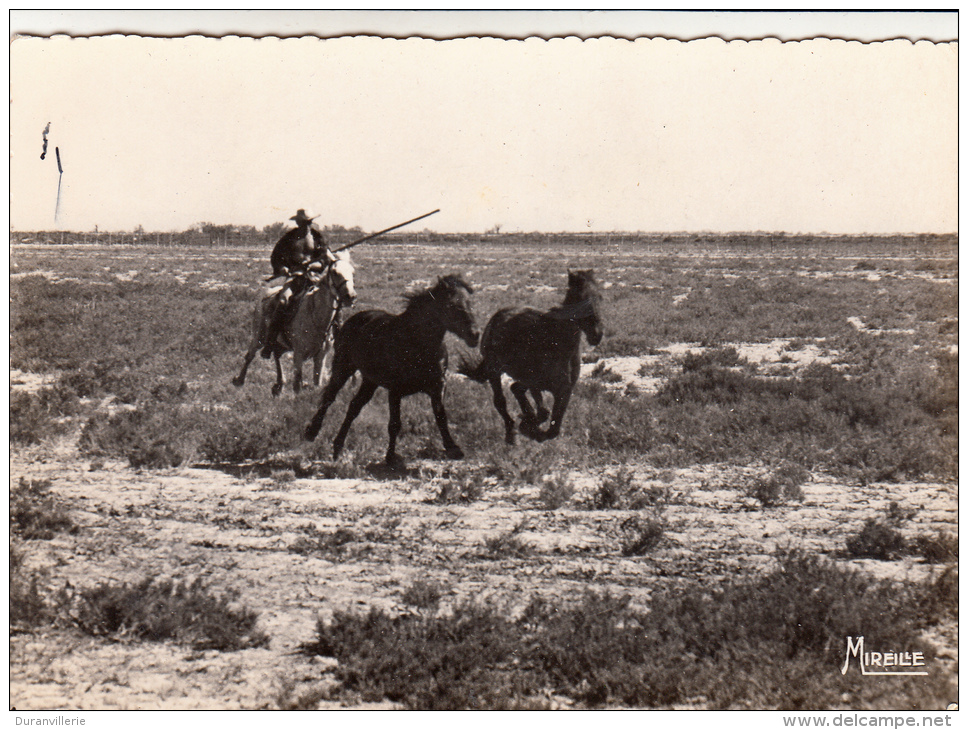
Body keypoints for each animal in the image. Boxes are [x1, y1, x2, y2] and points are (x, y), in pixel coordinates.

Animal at [233, 250, 358, 398]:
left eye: (352, 272)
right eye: (335, 272)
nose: (351, 296)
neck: (317, 317)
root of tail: (264, 295)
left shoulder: (321, 356)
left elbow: (317, 381)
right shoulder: (298, 354)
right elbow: (297, 384)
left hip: (280, 343)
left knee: (276, 355)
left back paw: (279, 384)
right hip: (259, 337)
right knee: (250, 356)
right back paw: (239, 380)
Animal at [306, 272, 480, 460]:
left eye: (470, 302)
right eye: (451, 305)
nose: (475, 334)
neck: (416, 343)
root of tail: (352, 320)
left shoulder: (438, 385)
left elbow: (441, 415)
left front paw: (452, 447)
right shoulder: (395, 391)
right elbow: (395, 424)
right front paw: (390, 457)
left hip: (370, 381)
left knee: (354, 406)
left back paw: (338, 445)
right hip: (343, 368)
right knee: (329, 397)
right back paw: (312, 432)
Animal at [458, 270, 600, 444]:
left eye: (599, 297)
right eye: (578, 296)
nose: (597, 334)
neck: (557, 340)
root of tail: (497, 317)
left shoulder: (563, 391)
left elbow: (552, 427)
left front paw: (530, 424)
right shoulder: (536, 383)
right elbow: (544, 415)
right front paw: (529, 426)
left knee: (515, 388)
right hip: (494, 370)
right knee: (500, 400)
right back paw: (511, 432)